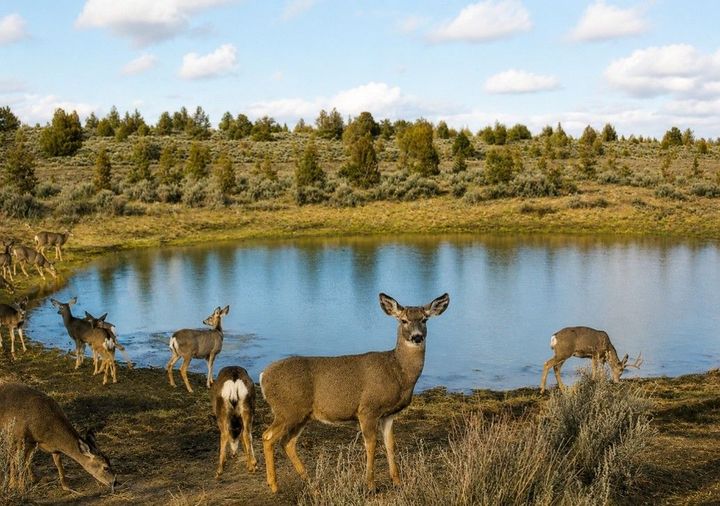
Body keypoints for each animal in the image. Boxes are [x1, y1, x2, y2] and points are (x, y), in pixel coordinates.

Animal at [260, 292, 450, 493]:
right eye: (403, 320)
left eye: (424, 319)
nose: (417, 337)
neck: (397, 371)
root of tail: (263, 376)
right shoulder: (367, 409)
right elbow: (371, 444)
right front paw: (371, 484)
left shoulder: (389, 414)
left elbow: (390, 444)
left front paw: (397, 481)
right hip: (288, 410)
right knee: (268, 437)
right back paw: (274, 485)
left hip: (301, 414)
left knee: (287, 442)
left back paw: (309, 481)